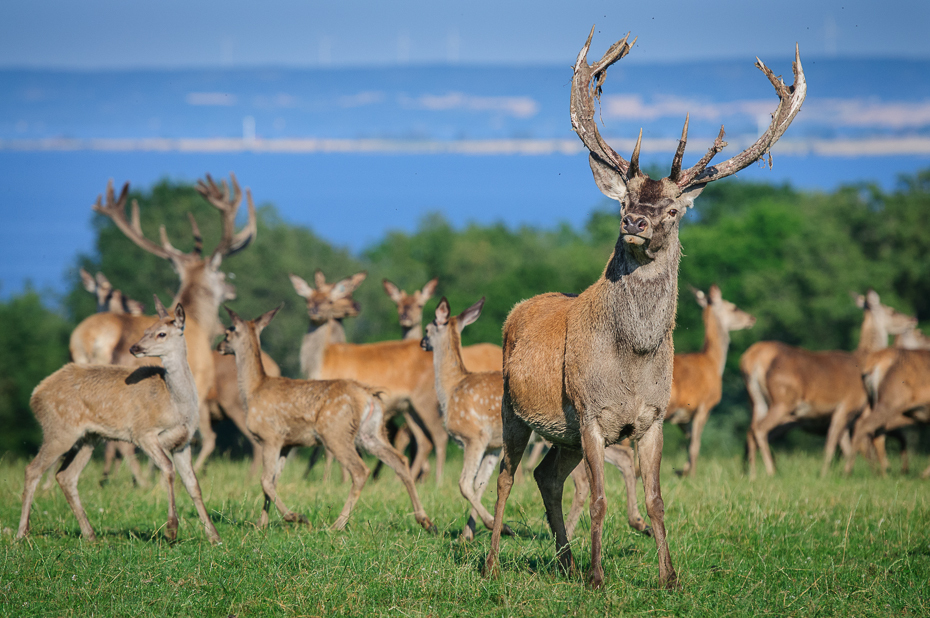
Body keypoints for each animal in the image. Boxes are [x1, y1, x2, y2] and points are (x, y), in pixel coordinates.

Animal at [19, 296, 222, 540]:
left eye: (161, 333)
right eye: (146, 330)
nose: (135, 347)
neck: (175, 402)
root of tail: (35, 395)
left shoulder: (183, 442)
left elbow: (193, 484)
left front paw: (214, 536)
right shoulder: (143, 432)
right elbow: (168, 470)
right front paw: (172, 530)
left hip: (87, 438)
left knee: (66, 476)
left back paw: (90, 535)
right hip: (59, 430)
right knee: (32, 470)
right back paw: (21, 533)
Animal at [218, 304, 436, 528]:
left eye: (228, 332)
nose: (219, 346)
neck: (254, 390)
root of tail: (368, 395)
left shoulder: (270, 436)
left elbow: (265, 481)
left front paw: (296, 517)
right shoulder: (288, 443)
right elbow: (272, 482)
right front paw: (262, 524)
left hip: (334, 431)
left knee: (360, 470)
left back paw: (337, 525)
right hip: (370, 433)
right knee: (400, 460)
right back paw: (426, 521)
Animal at [292, 268, 448, 482]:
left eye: (330, 300)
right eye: (308, 299)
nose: (315, 311)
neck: (321, 362)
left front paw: (330, 481)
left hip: (426, 400)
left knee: (439, 436)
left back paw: (438, 481)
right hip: (410, 407)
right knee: (423, 440)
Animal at [482, 27, 800, 588]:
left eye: (672, 209)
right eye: (624, 201)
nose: (636, 222)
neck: (632, 363)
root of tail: (518, 309)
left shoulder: (652, 418)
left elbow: (656, 500)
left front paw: (669, 577)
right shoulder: (589, 414)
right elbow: (601, 500)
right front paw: (598, 578)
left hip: (560, 434)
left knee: (546, 477)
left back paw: (564, 562)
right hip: (513, 408)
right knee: (508, 476)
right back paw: (496, 563)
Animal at [740, 288, 912, 476]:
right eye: (892, 310)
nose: (912, 319)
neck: (862, 360)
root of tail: (752, 358)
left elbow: (845, 446)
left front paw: (844, 473)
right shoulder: (847, 405)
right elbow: (833, 443)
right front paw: (825, 474)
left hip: (757, 401)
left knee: (750, 431)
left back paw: (753, 474)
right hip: (784, 400)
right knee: (760, 429)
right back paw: (770, 472)